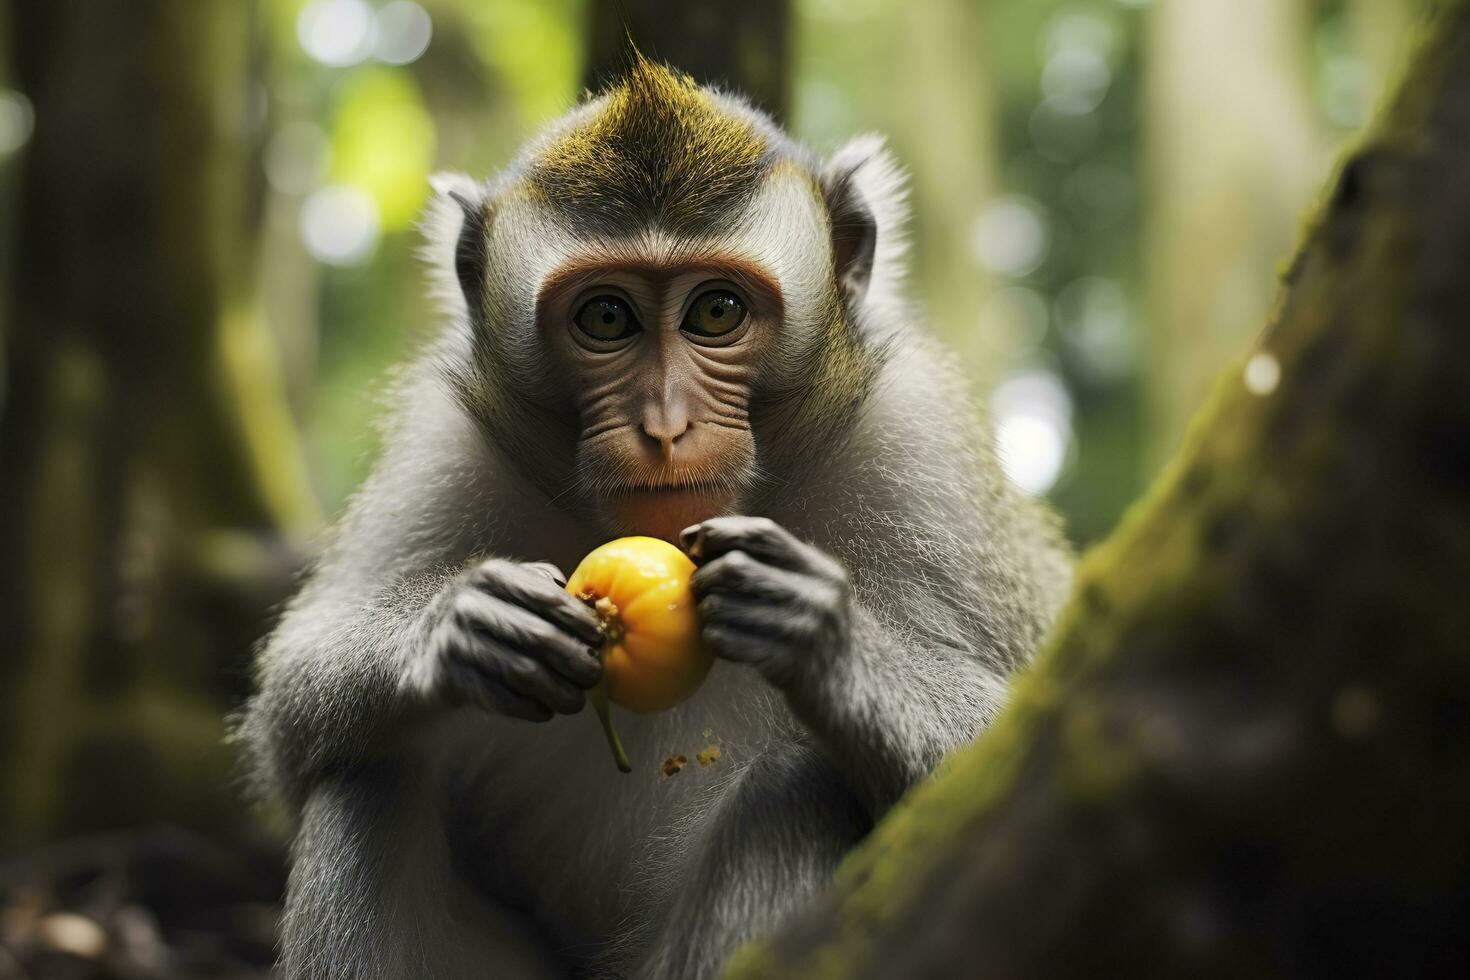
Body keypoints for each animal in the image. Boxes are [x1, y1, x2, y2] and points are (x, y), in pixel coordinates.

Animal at [238, 53, 1070, 980]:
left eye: (717, 311)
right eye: (606, 316)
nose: (666, 428)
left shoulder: (921, 450)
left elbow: (1035, 772)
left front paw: (828, 639)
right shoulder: (442, 450)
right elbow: (288, 724)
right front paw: (458, 628)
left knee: (798, 785)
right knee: (369, 777)